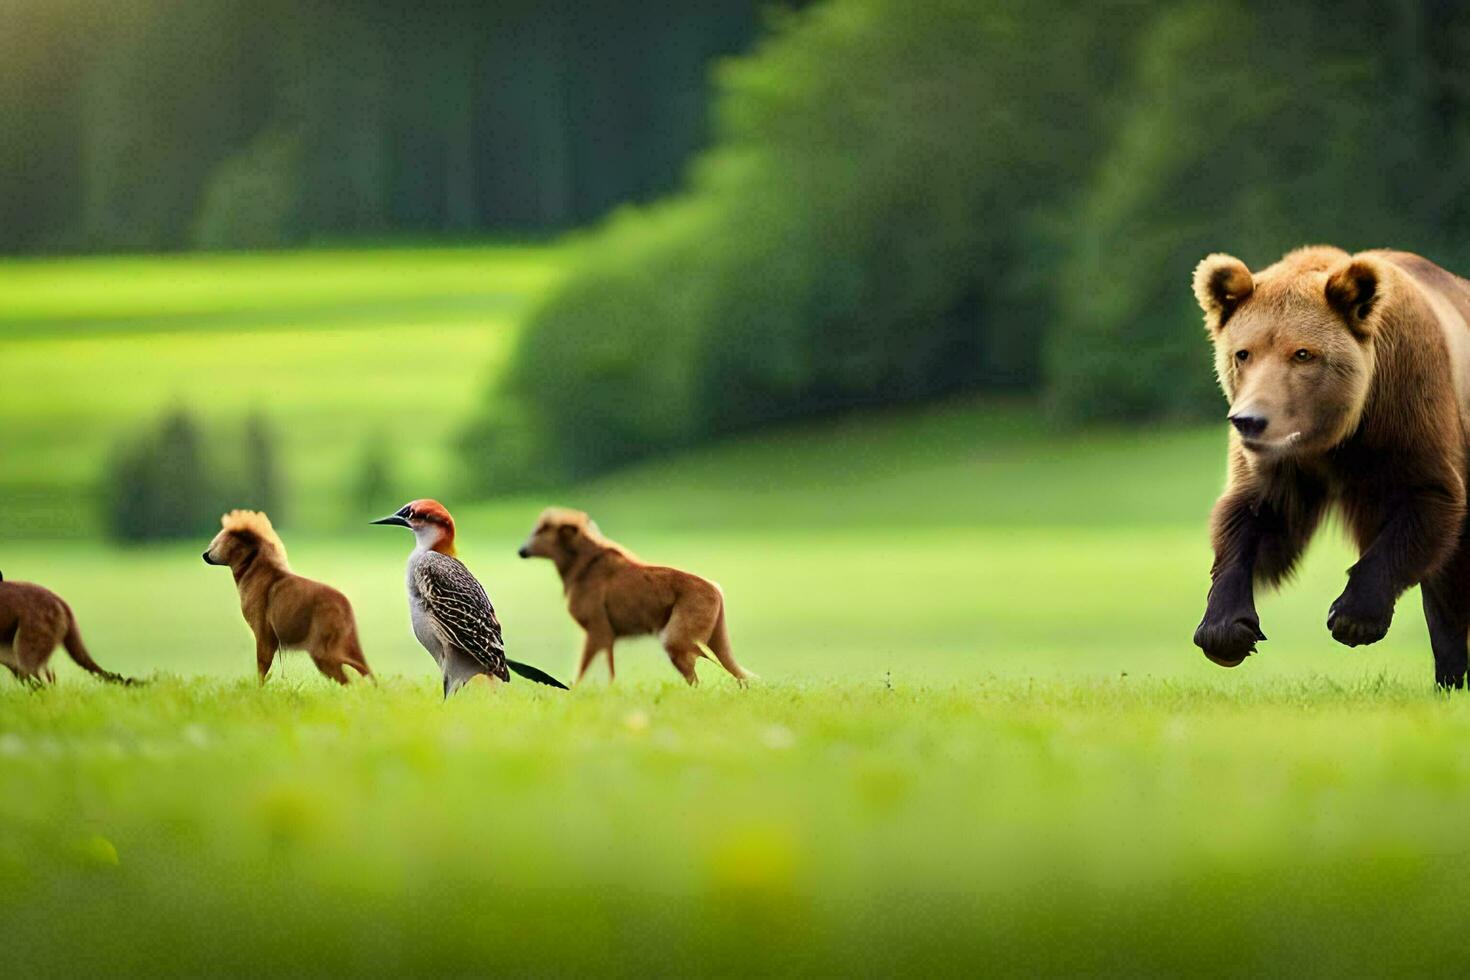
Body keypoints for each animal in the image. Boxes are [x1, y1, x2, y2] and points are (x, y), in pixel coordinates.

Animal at [204, 511, 370, 687]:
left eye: (219, 541)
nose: (205, 554)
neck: (253, 569)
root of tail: (344, 604)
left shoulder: (264, 635)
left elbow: (261, 670)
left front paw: (257, 690)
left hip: (324, 651)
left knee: (348, 678)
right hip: (344, 647)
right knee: (364, 672)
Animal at [514, 511, 746, 687]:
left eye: (543, 529)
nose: (522, 551)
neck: (582, 565)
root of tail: (715, 589)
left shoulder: (597, 632)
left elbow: (583, 673)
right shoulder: (606, 637)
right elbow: (609, 673)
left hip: (676, 639)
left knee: (698, 677)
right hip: (715, 639)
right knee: (739, 674)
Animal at [1199, 246, 1470, 690]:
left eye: (1303, 353)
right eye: (1243, 353)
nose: (1250, 420)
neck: (1333, 438)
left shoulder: (1410, 410)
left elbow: (1427, 500)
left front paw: (1353, 617)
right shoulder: (1277, 466)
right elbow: (1250, 520)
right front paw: (1226, 631)